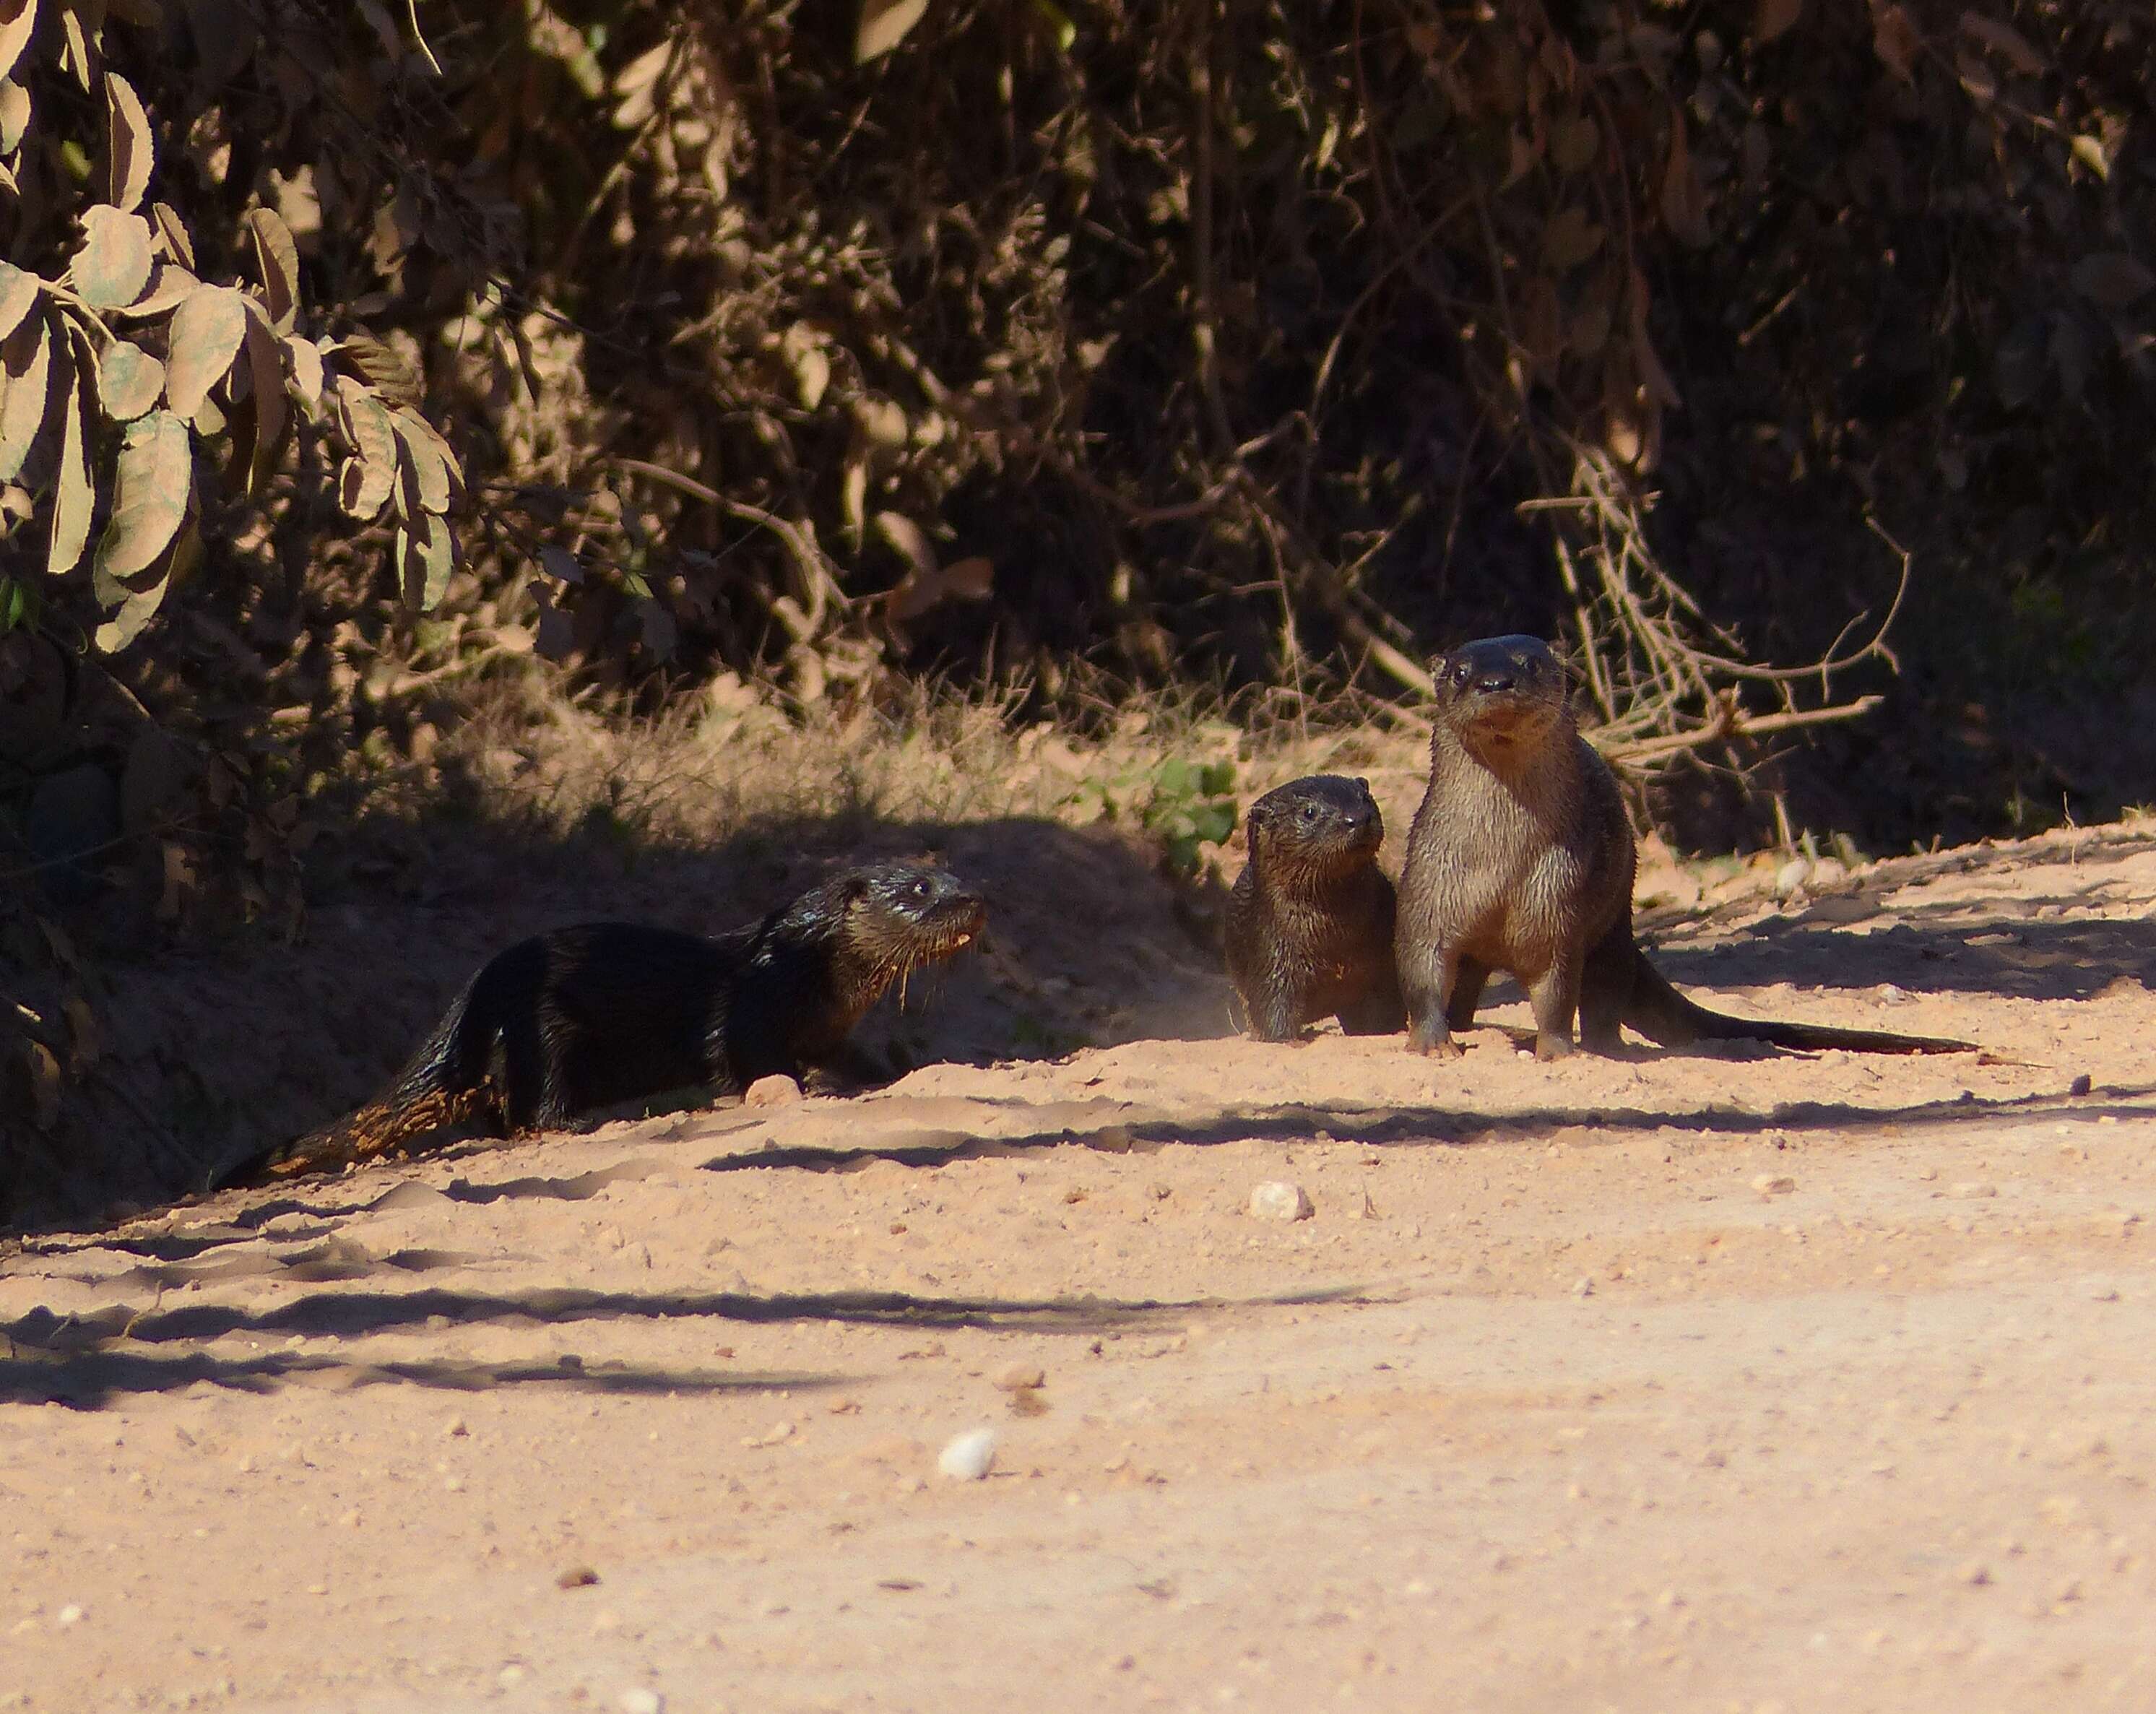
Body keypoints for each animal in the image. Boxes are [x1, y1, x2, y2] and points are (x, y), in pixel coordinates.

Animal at [215, 866, 987, 1190]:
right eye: (921, 889)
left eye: (954, 874)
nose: (976, 900)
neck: (806, 969)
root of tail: (470, 1000)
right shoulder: (749, 1011)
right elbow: (749, 1063)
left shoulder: (830, 1029)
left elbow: (856, 1060)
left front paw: (890, 1072)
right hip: (543, 1026)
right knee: (533, 1107)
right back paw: (579, 1123)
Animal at [1224, 780, 1406, 1047]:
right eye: (1309, 812)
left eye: (1364, 798)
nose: (1357, 819)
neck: (1333, 940)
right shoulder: (1270, 953)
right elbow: (1271, 1007)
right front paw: (1289, 1040)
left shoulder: (1383, 961)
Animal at [1397, 633, 1975, 1060]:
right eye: (1459, 673)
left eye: (1530, 663)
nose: (1495, 682)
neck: (1500, 862)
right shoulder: (1428, 888)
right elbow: (1422, 969)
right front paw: (1432, 1044)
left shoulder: (1557, 903)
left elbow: (1557, 989)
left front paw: (1558, 1050)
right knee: (1467, 985)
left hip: (1610, 924)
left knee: (1606, 988)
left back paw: (1604, 1045)